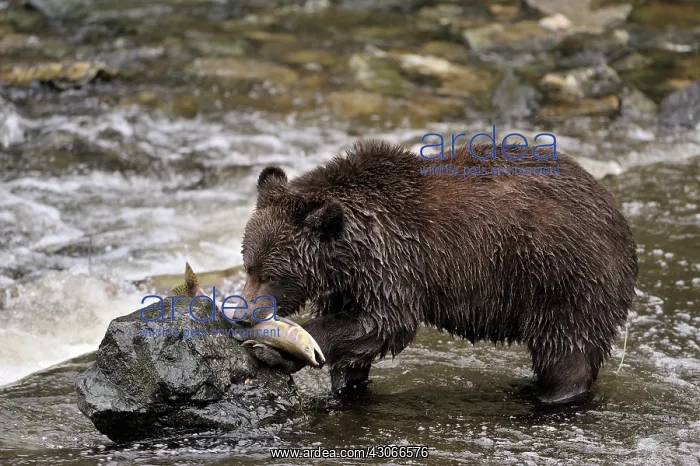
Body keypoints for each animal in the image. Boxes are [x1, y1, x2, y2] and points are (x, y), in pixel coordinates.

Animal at [237, 140, 639, 403]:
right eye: (248, 264)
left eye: (271, 274)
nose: (240, 313)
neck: (351, 252)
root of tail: (616, 211)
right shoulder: (352, 280)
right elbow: (356, 339)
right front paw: (344, 382)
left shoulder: (395, 263)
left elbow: (383, 323)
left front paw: (272, 348)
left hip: (563, 274)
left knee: (567, 347)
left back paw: (550, 394)